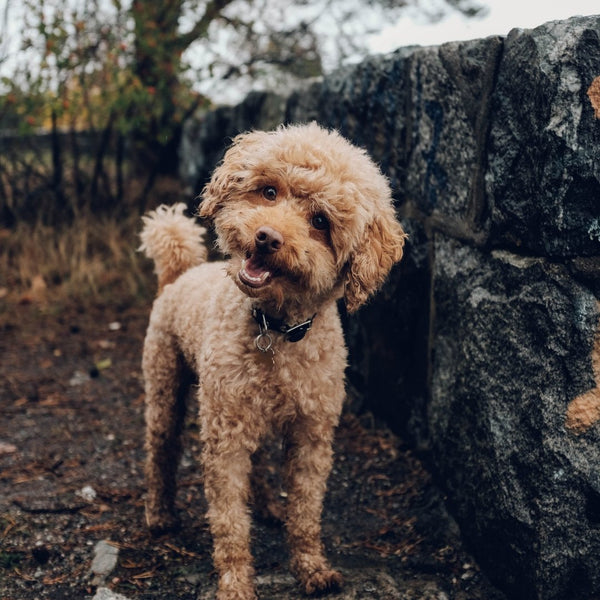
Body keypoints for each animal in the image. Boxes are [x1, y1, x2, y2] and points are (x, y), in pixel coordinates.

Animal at [138, 123, 406, 600]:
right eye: (268, 191)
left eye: (320, 222)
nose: (267, 237)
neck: (276, 329)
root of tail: (179, 274)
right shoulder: (224, 437)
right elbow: (228, 521)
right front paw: (235, 584)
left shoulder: (312, 435)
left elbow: (305, 511)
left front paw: (313, 568)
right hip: (165, 383)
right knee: (161, 449)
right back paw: (160, 513)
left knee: (257, 462)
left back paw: (264, 505)